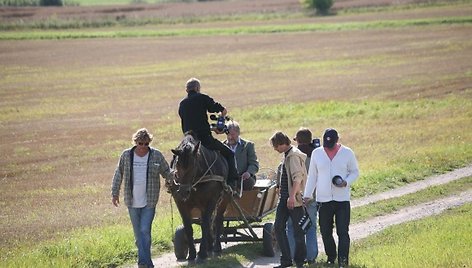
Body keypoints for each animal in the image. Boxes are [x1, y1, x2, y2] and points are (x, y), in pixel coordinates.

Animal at [168, 132, 232, 262]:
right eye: (177, 165)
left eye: (193, 166)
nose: (183, 192)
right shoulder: (181, 203)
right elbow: (188, 227)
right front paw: (192, 254)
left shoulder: (211, 201)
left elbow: (205, 225)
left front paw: (202, 253)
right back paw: (209, 245)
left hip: (223, 200)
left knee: (217, 220)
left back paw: (215, 246)